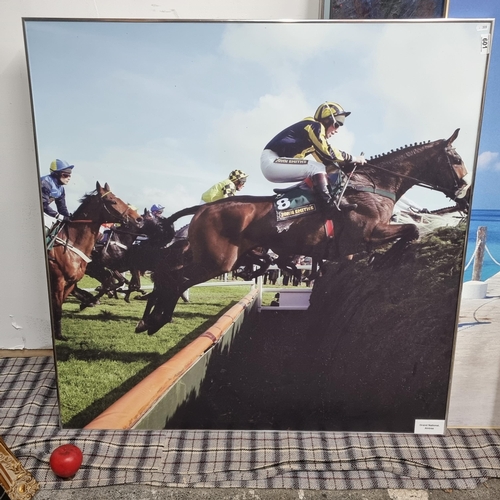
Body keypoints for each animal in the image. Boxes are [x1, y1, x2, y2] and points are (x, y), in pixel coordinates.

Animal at [136, 129, 468, 334]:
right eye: (456, 159)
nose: (465, 194)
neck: (373, 183)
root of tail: (204, 208)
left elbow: (410, 231)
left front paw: (383, 259)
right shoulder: (366, 233)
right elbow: (410, 229)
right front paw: (386, 259)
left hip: (208, 256)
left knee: (166, 272)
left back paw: (147, 318)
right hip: (217, 261)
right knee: (176, 278)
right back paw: (156, 320)